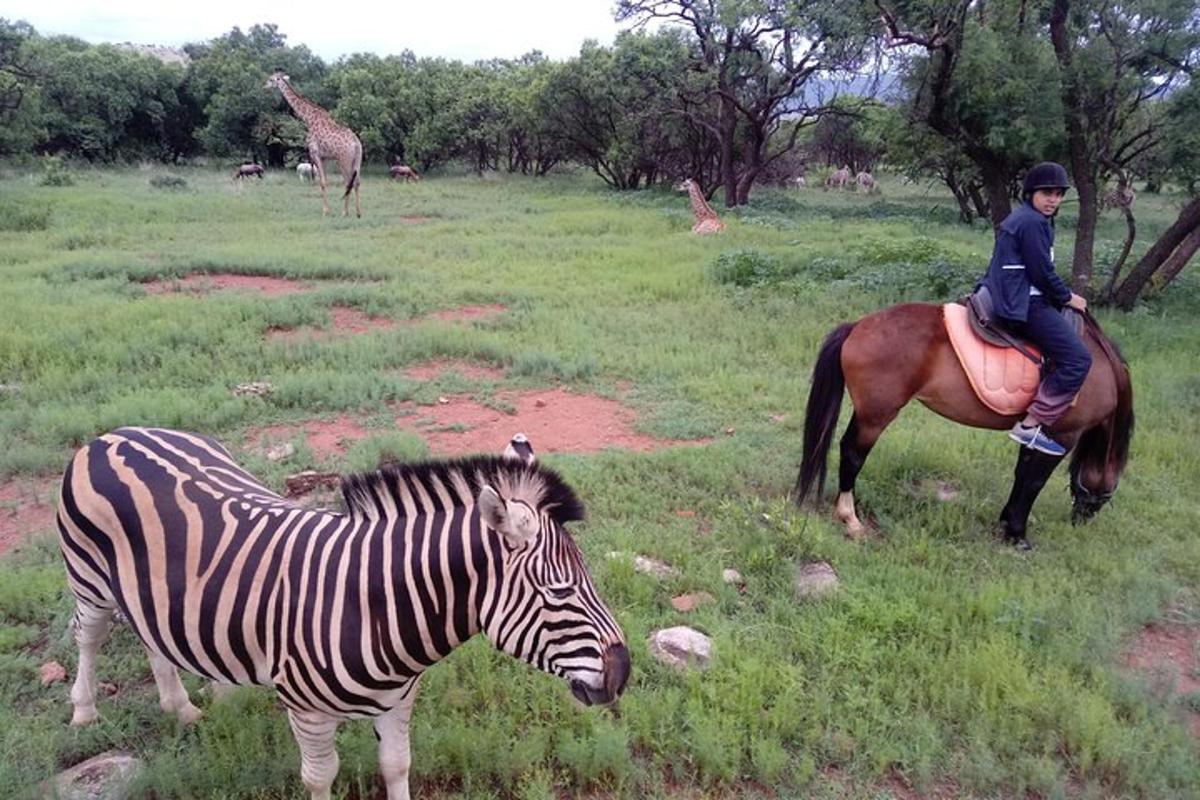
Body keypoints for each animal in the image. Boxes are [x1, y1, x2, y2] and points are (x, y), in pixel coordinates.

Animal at [56, 429, 628, 796]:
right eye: (558, 591)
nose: (623, 673)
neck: (373, 605)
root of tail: (115, 434)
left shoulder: (400, 699)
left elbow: (396, 766)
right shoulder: (306, 712)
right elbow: (320, 777)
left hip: (149, 589)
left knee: (153, 638)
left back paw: (182, 709)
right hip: (89, 577)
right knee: (88, 634)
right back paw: (83, 713)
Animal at [270, 69, 362, 215]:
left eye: (271, 79)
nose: (264, 85)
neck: (308, 118)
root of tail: (356, 143)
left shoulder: (315, 153)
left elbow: (322, 182)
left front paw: (325, 211)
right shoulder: (324, 157)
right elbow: (325, 181)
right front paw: (328, 210)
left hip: (344, 160)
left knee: (349, 182)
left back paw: (345, 212)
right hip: (357, 159)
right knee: (356, 181)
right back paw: (358, 213)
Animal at [796, 303, 1132, 546]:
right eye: (1108, 489)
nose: (1082, 520)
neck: (1101, 368)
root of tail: (856, 327)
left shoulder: (1033, 433)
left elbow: (1021, 475)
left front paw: (1007, 523)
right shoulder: (1061, 435)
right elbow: (1034, 482)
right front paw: (1018, 534)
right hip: (876, 415)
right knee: (853, 453)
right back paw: (850, 519)